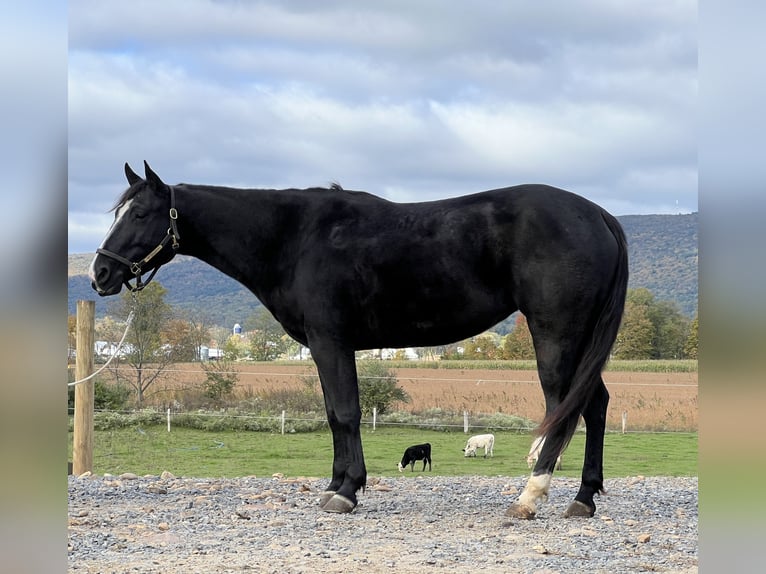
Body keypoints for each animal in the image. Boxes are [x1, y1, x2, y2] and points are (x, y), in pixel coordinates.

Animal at [91, 163, 632, 520]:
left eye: (140, 214)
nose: (100, 273)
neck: (293, 237)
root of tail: (600, 215)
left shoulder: (330, 340)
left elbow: (345, 413)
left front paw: (346, 491)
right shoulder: (327, 346)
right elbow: (336, 414)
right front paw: (338, 482)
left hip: (556, 336)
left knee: (566, 410)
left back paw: (530, 497)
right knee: (596, 404)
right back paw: (583, 498)